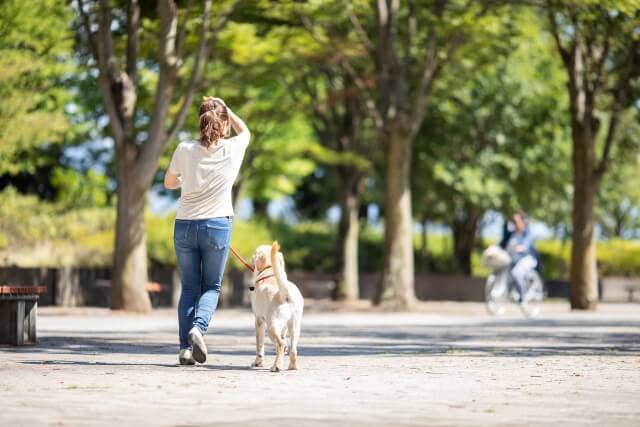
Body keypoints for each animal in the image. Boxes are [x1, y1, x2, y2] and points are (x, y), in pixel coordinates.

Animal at [249, 242, 304, 372]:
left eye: (255, 252)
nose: (251, 257)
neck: (270, 271)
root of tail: (285, 293)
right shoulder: (283, 328)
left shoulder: (259, 321)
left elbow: (259, 346)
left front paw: (258, 362)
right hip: (295, 327)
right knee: (293, 349)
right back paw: (292, 366)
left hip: (271, 326)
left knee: (281, 344)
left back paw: (276, 366)